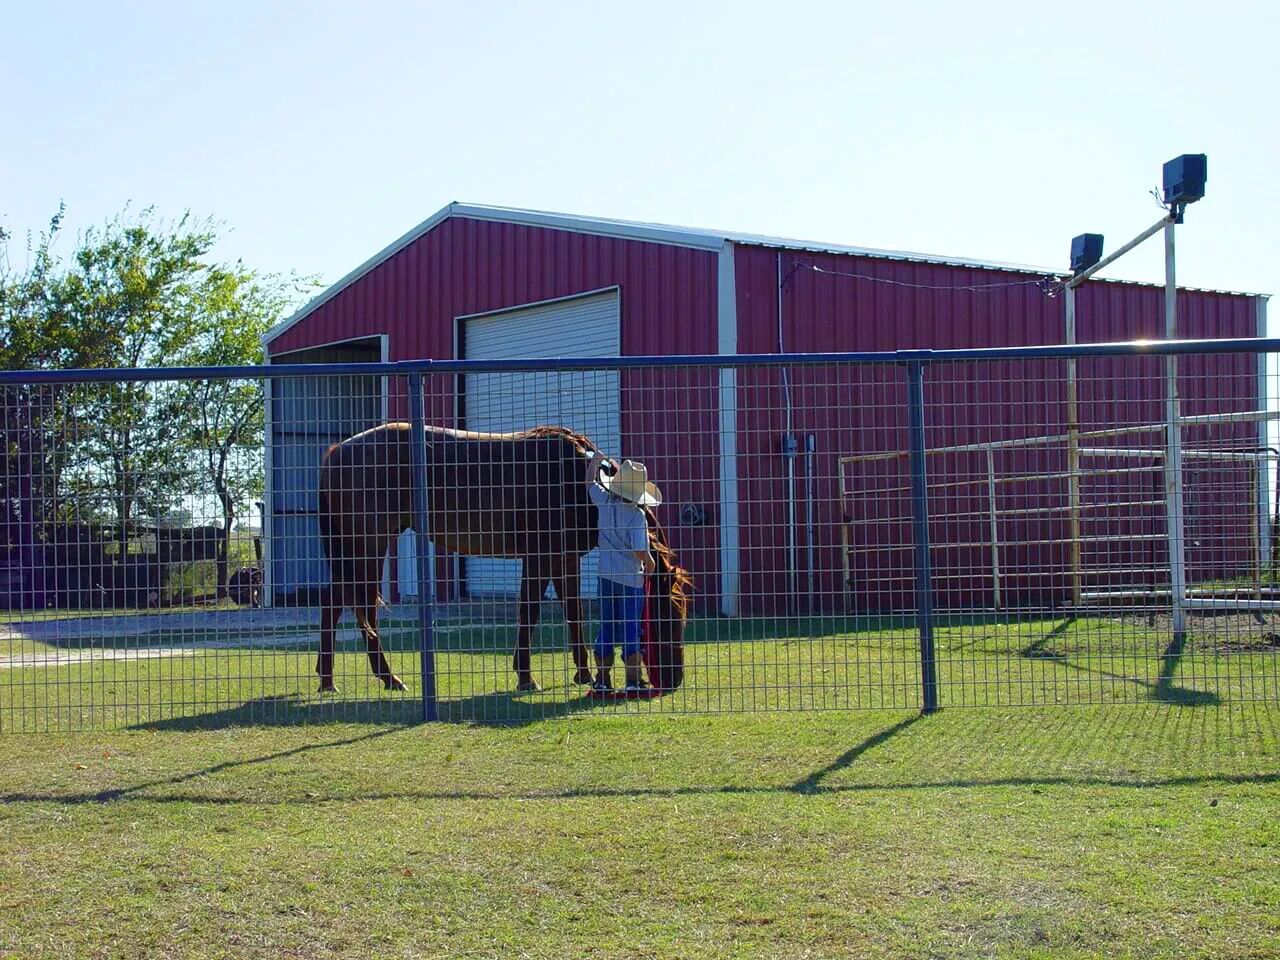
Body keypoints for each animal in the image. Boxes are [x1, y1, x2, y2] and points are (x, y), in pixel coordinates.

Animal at [315, 423, 690, 694]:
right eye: (669, 616)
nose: (674, 679)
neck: (577, 482)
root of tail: (336, 451)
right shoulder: (539, 559)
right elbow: (529, 613)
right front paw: (525, 677)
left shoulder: (565, 561)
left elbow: (574, 614)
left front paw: (583, 673)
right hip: (369, 545)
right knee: (361, 608)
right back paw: (385, 678)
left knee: (335, 602)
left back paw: (328, 678)